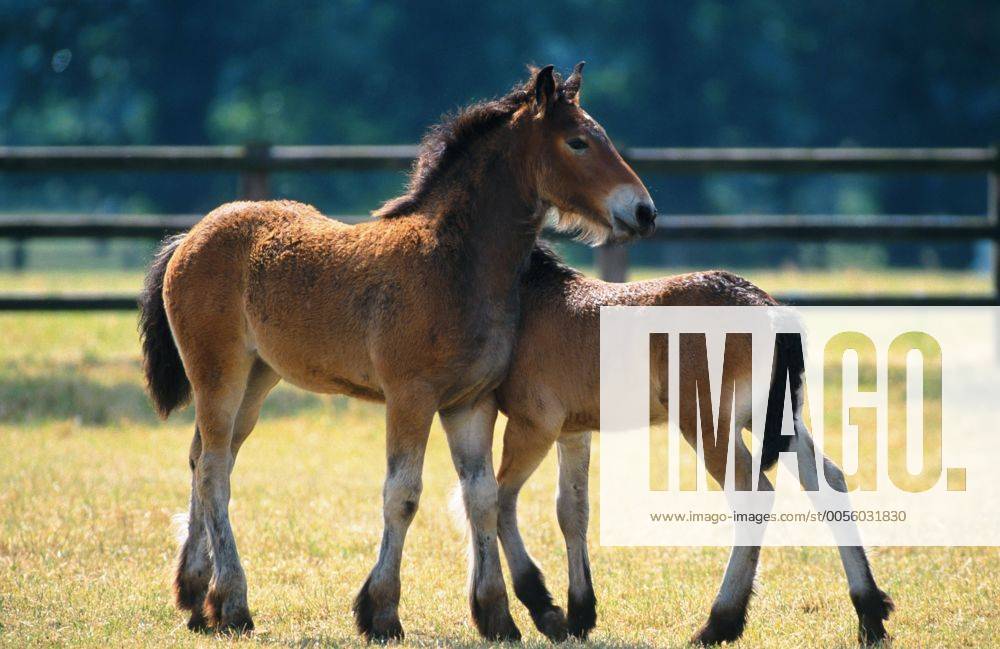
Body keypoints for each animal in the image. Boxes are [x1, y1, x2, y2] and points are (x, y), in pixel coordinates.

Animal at [137, 63, 657, 642]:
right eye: (578, 142)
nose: (644, 210)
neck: (455, 263)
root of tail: (190, 236)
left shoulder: (469, 402)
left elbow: (482, 497)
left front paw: (496, 616)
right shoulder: (410, 397)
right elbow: (402, 495)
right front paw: (381, 612)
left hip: (256, 378)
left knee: (207, 458)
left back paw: (194, 593)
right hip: (218, 373)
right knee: (213, 472)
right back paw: (231, 603)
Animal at [491, 244, 894, 645]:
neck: (534, 295)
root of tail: (768, 307)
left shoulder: (533, 425)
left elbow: (497, 500)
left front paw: (540, 609)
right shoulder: (573, 431)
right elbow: (571, 511)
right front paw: (578, 616)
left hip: (708, 424)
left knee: (753, 495)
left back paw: (719, 623)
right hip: (773, 419)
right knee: (828, 480)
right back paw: (870, 614)